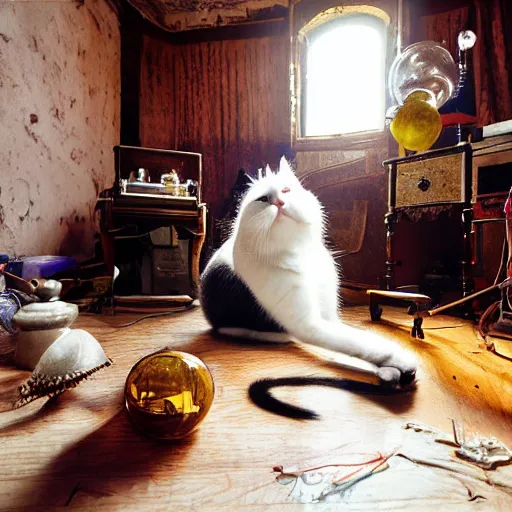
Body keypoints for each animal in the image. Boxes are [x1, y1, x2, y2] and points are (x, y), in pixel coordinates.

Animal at [200, 156, 416, 388]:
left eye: (286, 190)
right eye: (263, 199)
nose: (279, 202)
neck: (300, 252)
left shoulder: (330, 317)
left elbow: (357, 339)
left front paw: (388, 370)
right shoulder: (309, 324)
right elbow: (360, 343)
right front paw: (399, 361)